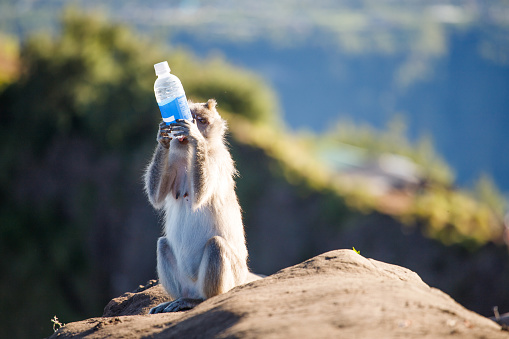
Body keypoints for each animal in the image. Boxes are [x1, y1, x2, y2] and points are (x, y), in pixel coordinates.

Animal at [144, 98, 260, 314]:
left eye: (201, 120)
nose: (192, 126)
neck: (187, 154)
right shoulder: (173, 160)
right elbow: (156, 197)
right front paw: (163, 135)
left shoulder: (218, 160)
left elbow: (200, 195)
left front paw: (194, 136)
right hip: (185, 283)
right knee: (163, 244)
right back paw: (178, 299)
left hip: (232, 277)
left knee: (215, 245)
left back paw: (199, 301)